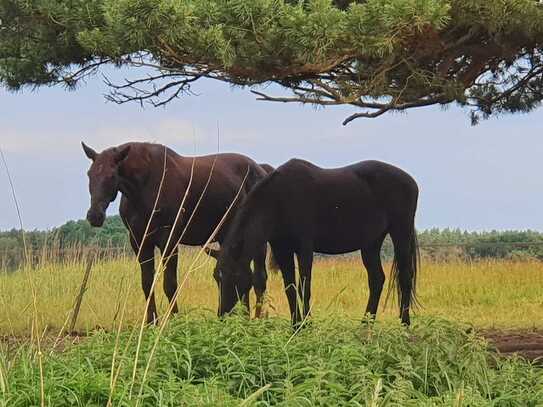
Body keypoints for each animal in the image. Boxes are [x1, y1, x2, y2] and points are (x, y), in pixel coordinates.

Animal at [81, 142, 274, 324]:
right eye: (89, 174)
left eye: (112, 176)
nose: (94, 216)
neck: (145, 188)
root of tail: (262, 170)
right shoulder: (139, 241)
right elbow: (147, 284)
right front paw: (151, 322)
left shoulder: (169, 239)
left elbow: (170, 284)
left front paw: (173, 320)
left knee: (259, 279)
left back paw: (257, 319)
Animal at [212, 159, 420, 328]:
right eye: (216, 277)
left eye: (233, 276)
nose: (221, 315)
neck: (279, 199)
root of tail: (411, 181)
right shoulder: (282, 250)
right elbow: (290, 287)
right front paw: (296, 325)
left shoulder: (304, 248)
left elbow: (304, 286)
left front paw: (306, 323)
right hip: (371, 243)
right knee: (377, 279)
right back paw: (365, 324)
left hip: (401, 232)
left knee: (405, 277)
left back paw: (405, 324)